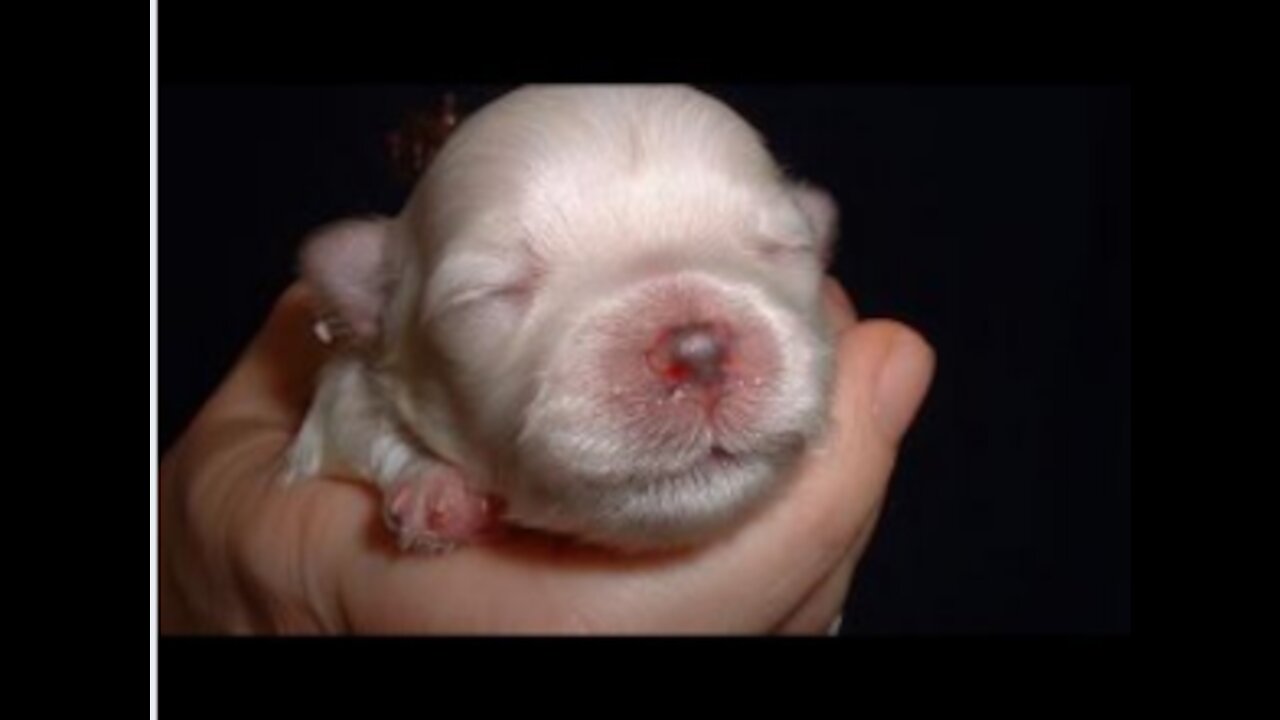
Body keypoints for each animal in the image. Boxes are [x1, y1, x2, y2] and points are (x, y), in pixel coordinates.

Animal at [290, 82, 844, 548]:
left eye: (781, 249)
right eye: (494, 292)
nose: (698, 350)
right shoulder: (341, 398)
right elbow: (354, 421)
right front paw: (436, 487)